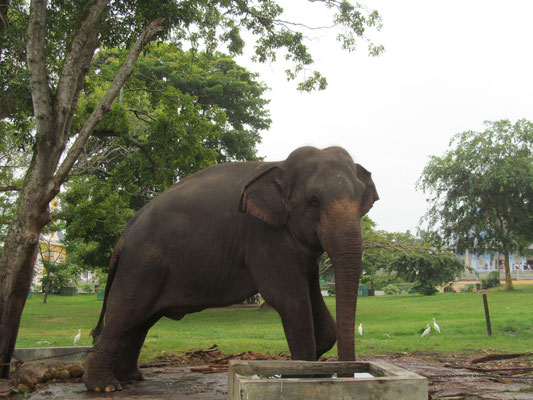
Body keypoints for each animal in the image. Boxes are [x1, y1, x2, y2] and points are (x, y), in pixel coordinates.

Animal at [83, 146, 378, 390]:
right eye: (314, 201)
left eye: (361, 198)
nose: (349, 376)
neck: (280, 165)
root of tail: (123, 236)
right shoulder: (265, 239)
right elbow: (291, 302)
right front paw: (301, 376)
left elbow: (323, 322)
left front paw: (307, 370)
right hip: (142, 265)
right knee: (126, 313)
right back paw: (105, 387)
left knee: (140, 322)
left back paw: (131, 378)